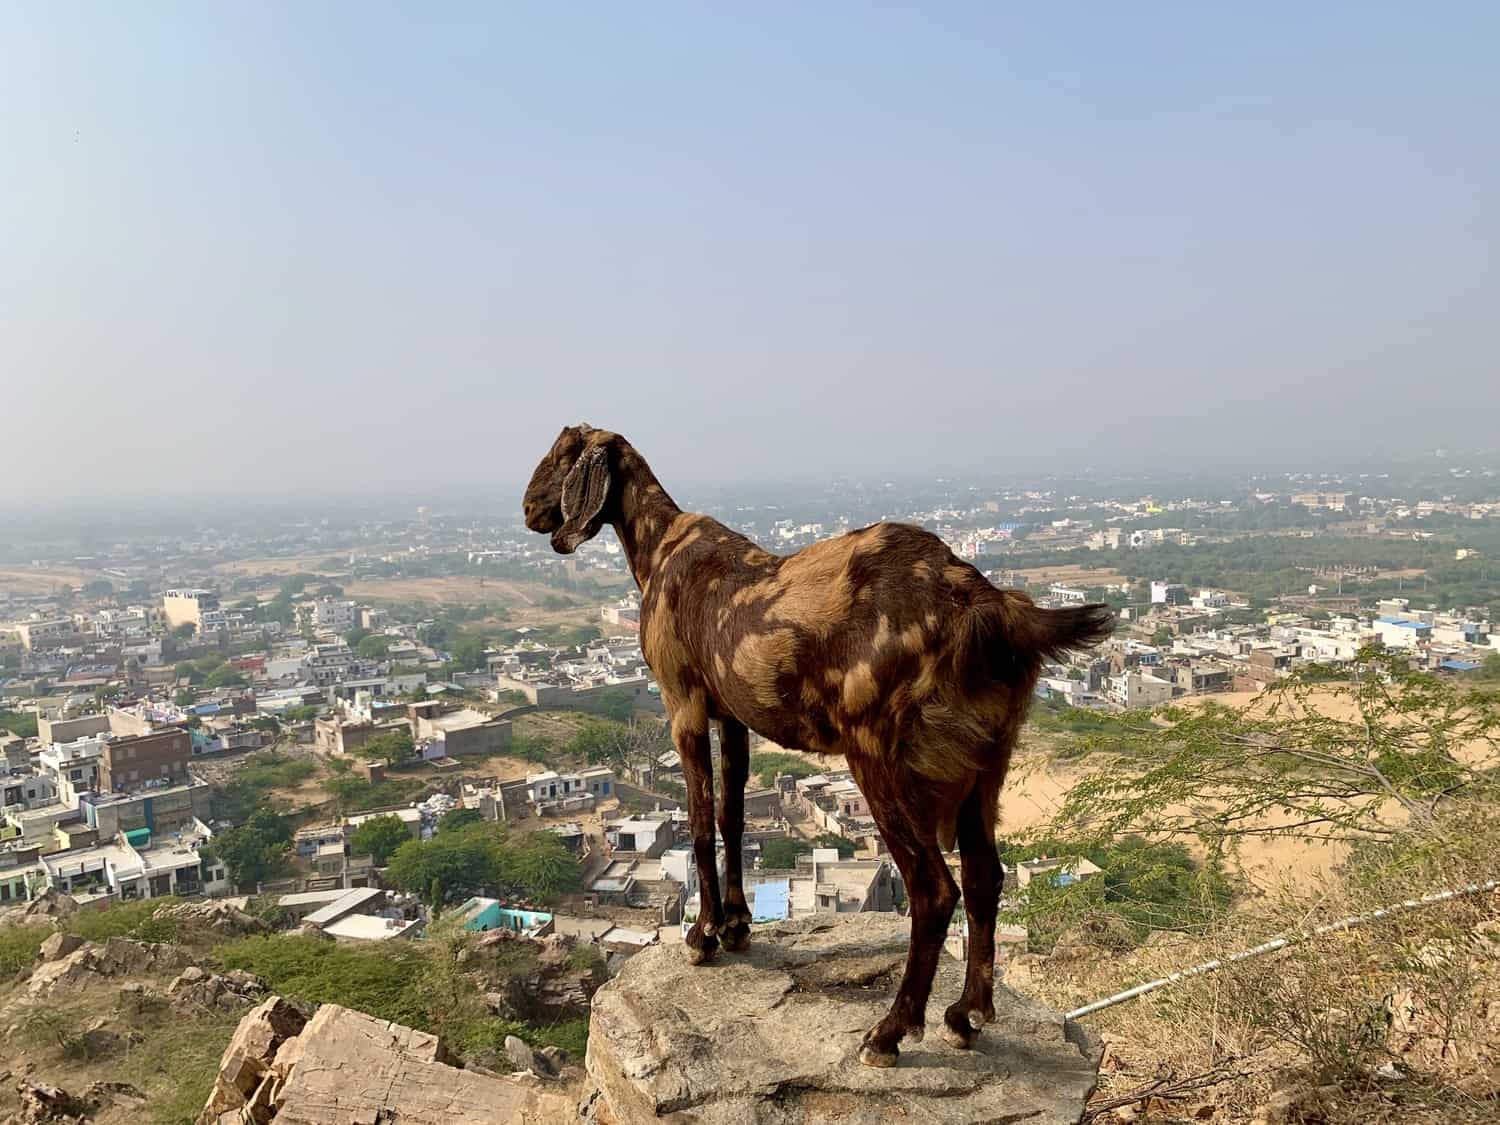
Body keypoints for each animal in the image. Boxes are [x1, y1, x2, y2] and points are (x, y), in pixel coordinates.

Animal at [522, 423, 1110, 1068]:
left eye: (559, 455)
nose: (527, 508)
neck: (660, 547)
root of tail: (992, 607)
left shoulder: (684, 703)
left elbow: (699, 819)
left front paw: (702, 937)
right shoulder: (733, 717)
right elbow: (731, 817)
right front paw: (737, 926)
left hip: (881, 759)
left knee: (934, 890)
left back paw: (890, 1032)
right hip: (986, 768)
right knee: (986, 879)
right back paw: (965, 1018)